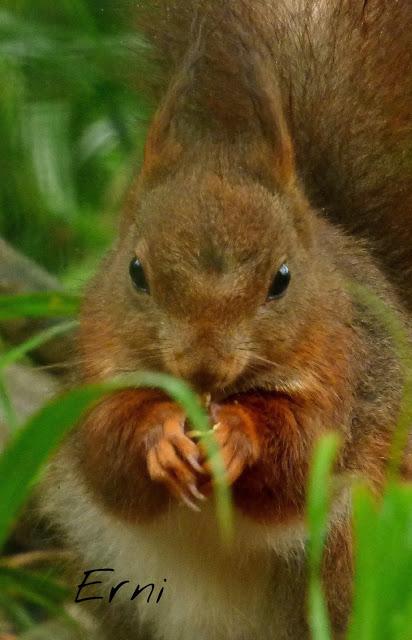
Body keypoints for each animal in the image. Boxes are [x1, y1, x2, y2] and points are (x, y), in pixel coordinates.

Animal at [43, 1, 410, 640]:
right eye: (136, 271)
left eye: (282, 279)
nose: (203, 366)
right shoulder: (97, 359)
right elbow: (106, 448)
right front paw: (160, 438)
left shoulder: (346, 373)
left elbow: (302, 451)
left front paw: (240, 436)